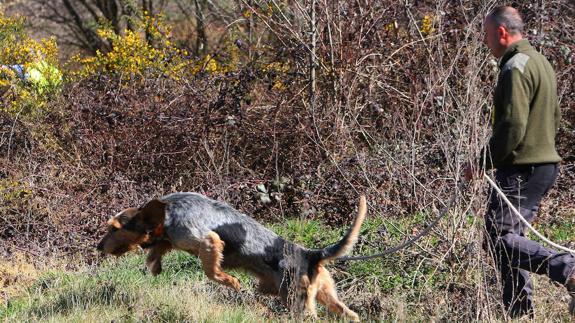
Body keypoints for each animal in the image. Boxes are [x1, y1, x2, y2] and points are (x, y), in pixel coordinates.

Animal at [97, 192, 366, 322]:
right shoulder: (169, 239)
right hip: (326, 295)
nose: (98, 247)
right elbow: (157, 249)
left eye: (114, 228)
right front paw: (154, 265)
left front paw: (231, 281)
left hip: (296, 300)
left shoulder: (208, 241)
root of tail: (310, 254)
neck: (168, 211)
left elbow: (211, 270)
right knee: (352, 315)